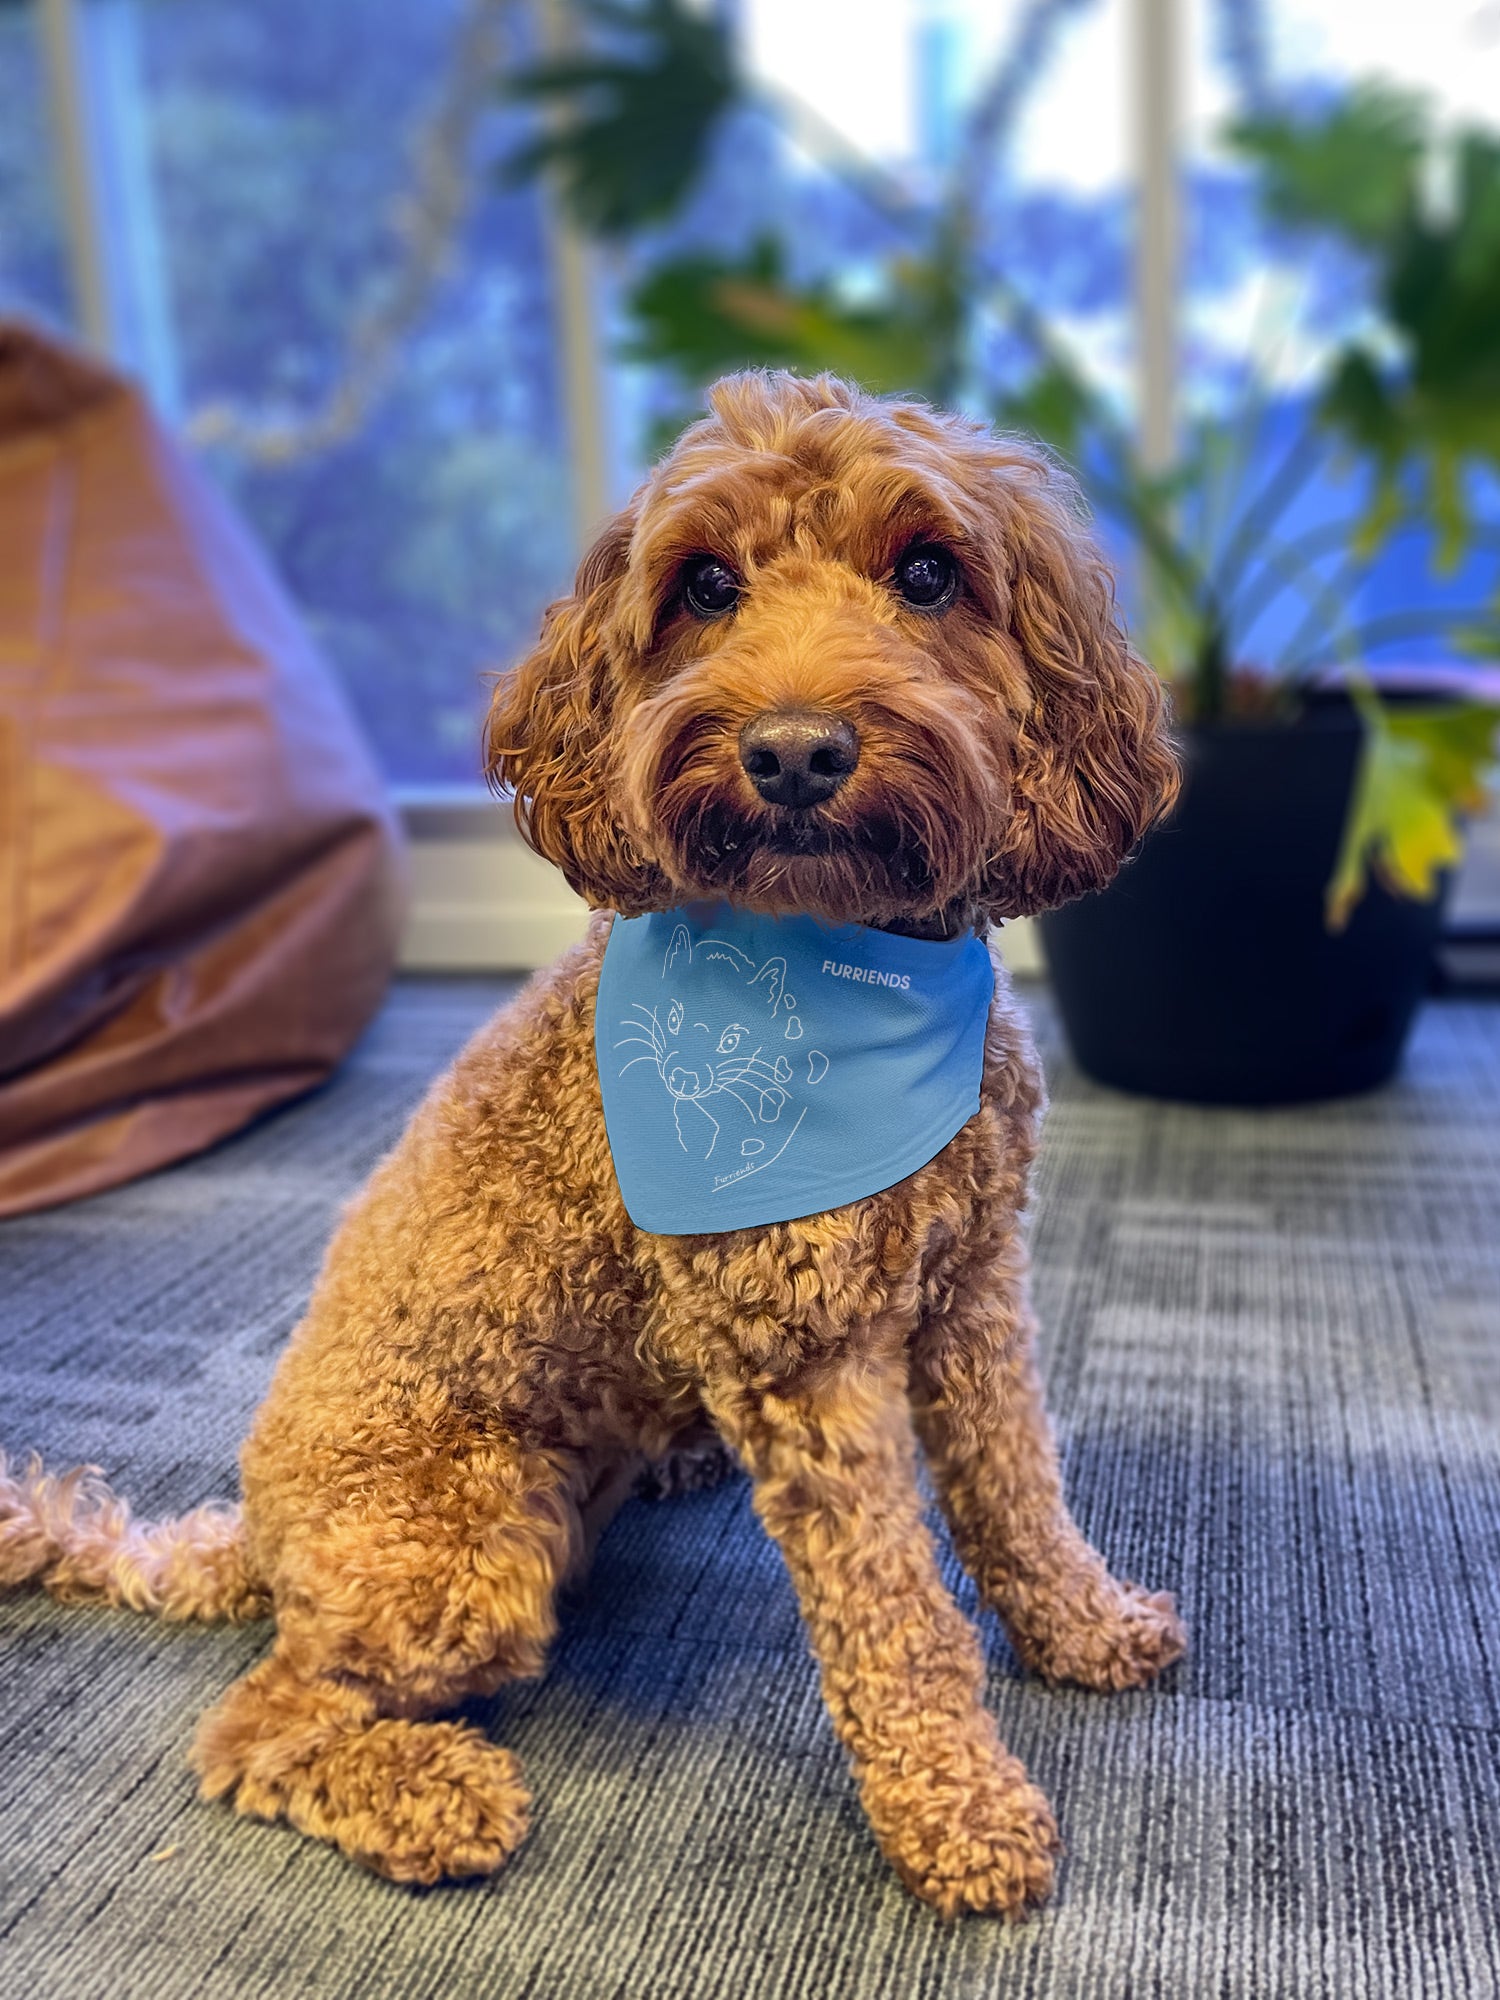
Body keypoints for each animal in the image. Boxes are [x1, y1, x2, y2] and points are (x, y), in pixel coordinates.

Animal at [2, 368, 1200, 1912]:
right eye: (705, 585)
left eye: (930, 572)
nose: (794, 753)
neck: (838, 961)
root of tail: (251, 1537)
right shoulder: (807, 1355)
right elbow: (894, 1611)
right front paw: (959, 1808)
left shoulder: (976, 1284)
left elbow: (1016, 1486)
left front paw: (1085, 1626)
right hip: (460, 1543)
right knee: (264, 1715)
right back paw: (428, 1792)